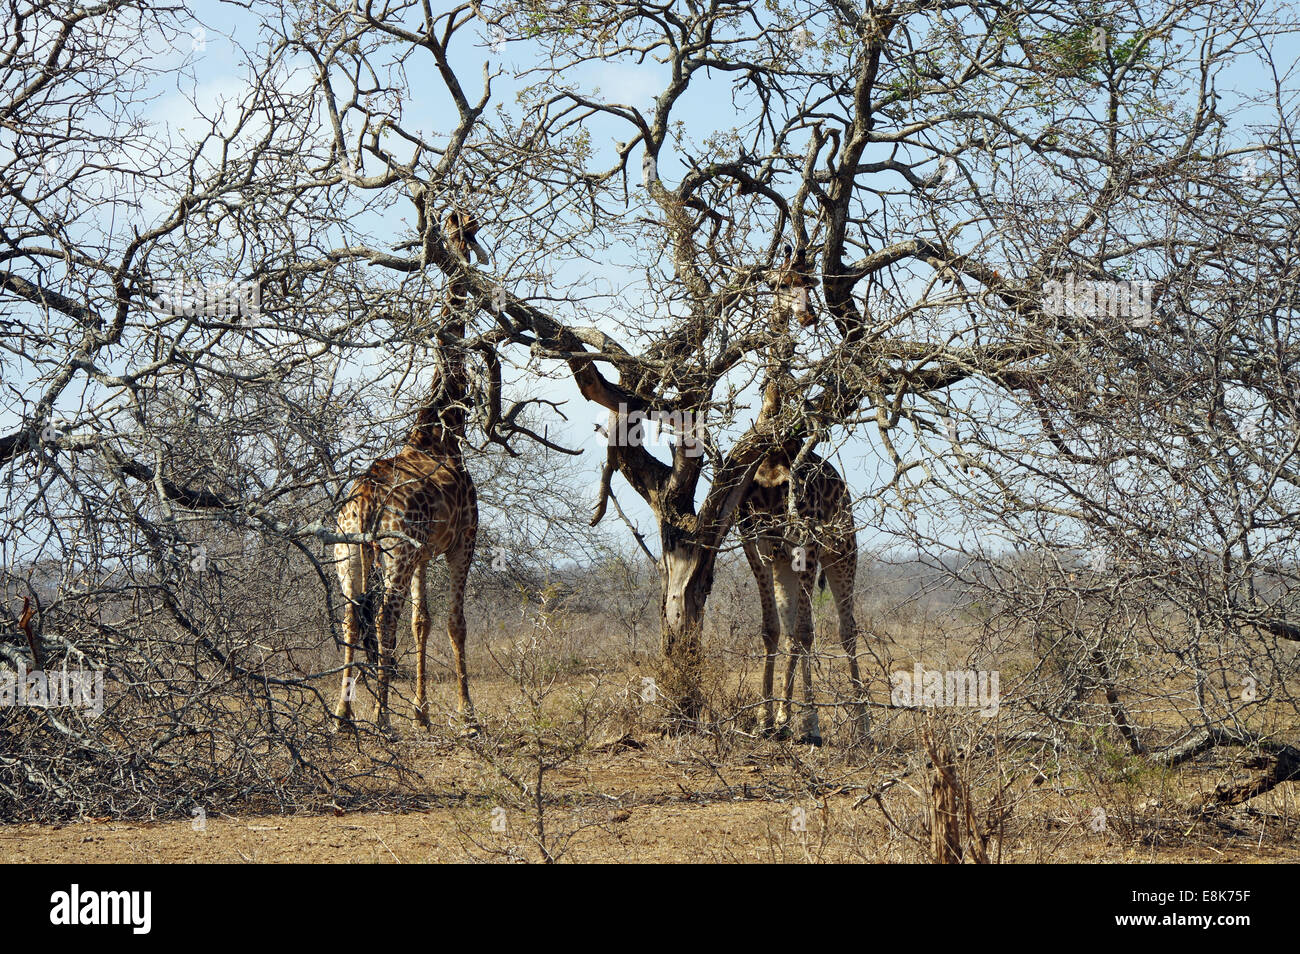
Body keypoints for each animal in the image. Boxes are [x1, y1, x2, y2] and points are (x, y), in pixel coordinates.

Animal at [332, 210, 486, 733]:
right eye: (468, 226)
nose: (473, 250)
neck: (440, 429)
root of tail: (364, 499)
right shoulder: (462, 542)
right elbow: (457, 623)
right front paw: (466, 714)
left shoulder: (423, 554)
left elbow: (425, 622)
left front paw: (422, 712)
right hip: (393, 551)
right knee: (383, 618)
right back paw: (381, 719)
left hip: (349, 552)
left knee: (351, 617)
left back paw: (343, 715)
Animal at [738, 244, 868, 748]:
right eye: (778, 283)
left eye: (810, 283)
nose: (808, 314)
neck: (775, 453)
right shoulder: (756, 543)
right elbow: (772, 630)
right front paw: (765, 718)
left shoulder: (805, 542)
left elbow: (807, 632)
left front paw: (808, 722)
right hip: (785, 562)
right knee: (794, 625)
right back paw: (782, 717)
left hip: (841, 550)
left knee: (846, 629)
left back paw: (861, 722)